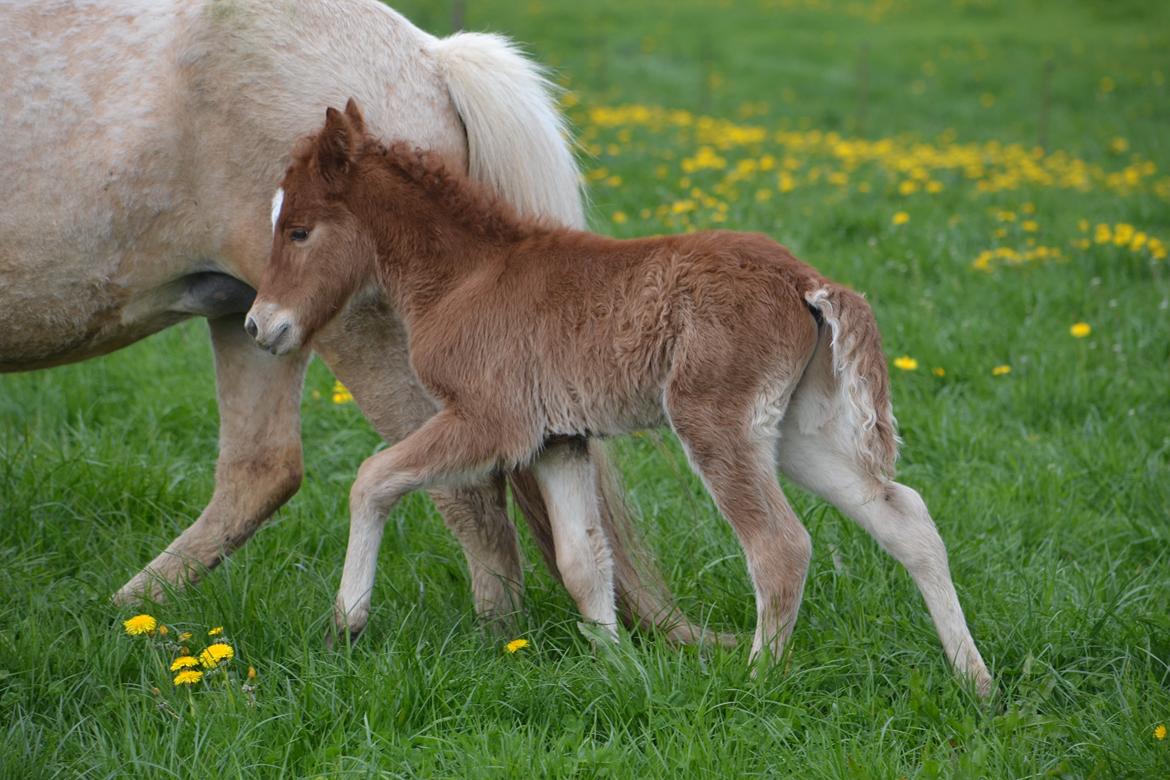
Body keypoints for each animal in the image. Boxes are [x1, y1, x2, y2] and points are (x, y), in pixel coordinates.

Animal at [0, 0, 706, 645]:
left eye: (301, 230)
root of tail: (431, 53)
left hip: (354, 336)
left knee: (463, 490)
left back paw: (492, 640)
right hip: (251, 318)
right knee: (263, 470)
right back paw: (130, 612)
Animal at [244, 99, 987, 696]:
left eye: (300, 230)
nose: (259, 326)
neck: (467, 276)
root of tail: (805, 279)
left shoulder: (493, 421)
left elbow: (372, 479)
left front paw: (346, 622)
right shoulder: (558, 439)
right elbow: (582, 561)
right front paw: (619, 669)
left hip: (714, 421)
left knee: (780, 545)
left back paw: (755, 682)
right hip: (795, 432)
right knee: (905, 518)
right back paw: (973, 680)